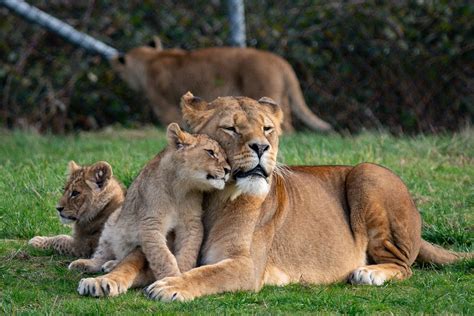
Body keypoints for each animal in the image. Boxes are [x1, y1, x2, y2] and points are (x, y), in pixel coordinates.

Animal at [71, 124, 231, 292]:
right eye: (210, 152)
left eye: (226, 156)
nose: (228, 170)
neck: (180, 189)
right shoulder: (151, 223)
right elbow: (162, 256)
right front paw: (171, 278)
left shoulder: (191, 224)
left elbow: (188, 253)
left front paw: (178, 277)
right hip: (112, 223)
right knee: (103, 253)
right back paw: (85, 263)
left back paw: (111, 265)